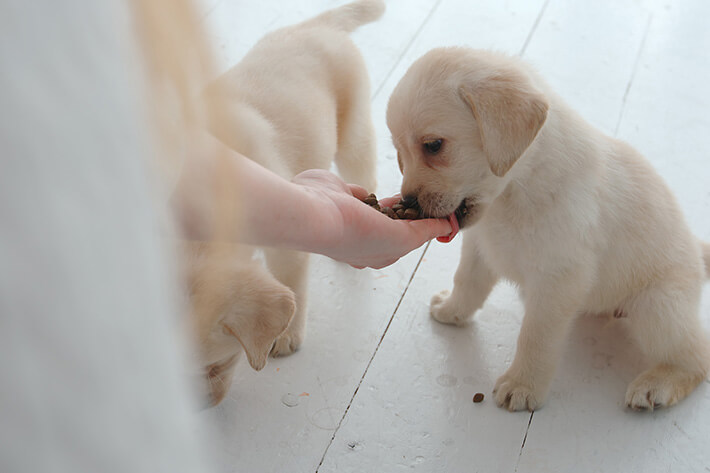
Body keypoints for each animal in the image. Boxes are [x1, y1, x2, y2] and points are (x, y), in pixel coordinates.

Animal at [191, 0, 384, 406]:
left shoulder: (286, 237)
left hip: (354, 136)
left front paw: (287, 335)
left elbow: (290, 285)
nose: (202, 409)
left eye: (216, 366)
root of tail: (320, 25)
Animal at [390, 46, 710, 412]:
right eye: (399, 153)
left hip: (658, 307)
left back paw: (656, 383)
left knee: (697, 356)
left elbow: (535, 336)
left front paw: (522, 384)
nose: (408, 201)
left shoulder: (558, 280)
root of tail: (696, 251)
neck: (515, 190)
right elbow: (467, 282)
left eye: (433, 145)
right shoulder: (480, 246)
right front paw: (452, 311)